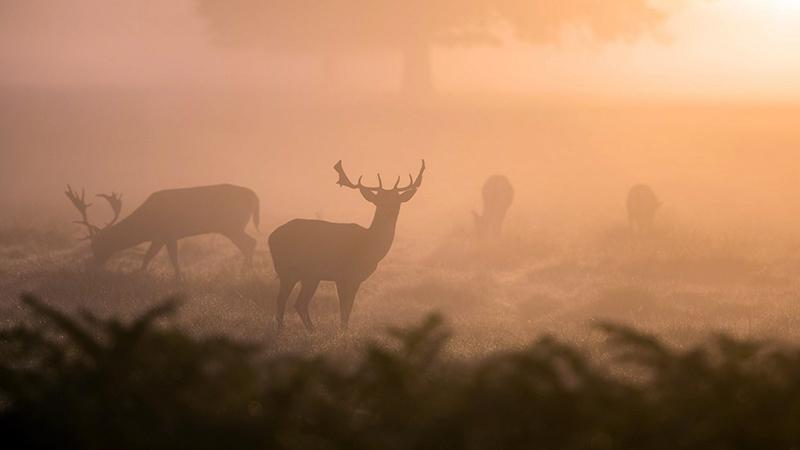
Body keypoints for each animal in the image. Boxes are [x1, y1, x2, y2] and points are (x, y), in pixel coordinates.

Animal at [66, 184, 260, 278]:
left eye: (96, 244)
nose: (93, 265)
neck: (146, 224)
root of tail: (254, 196)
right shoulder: (159, 237)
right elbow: (148, 257)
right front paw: (140, 273)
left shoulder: (169, 233)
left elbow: (172, 258)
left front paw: (178, 278)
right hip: (232, 226)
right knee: (250, 242)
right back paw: (247, 272)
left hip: (231, 225)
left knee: (249, 242)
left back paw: (245, 273)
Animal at [268, 159, 424, 330]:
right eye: (379, 200)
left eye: (397, 200)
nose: (390, 211)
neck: (368, 246)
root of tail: (271, 237)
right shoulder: (342, 274)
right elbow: (344, 308)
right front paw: (343, 331)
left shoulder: (356, 279)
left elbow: (348, 308)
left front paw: (345, 330)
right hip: (287, 270)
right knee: (282, 301)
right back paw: (283, 330)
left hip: (309, 276)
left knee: (299, 303)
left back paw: (311, 330)